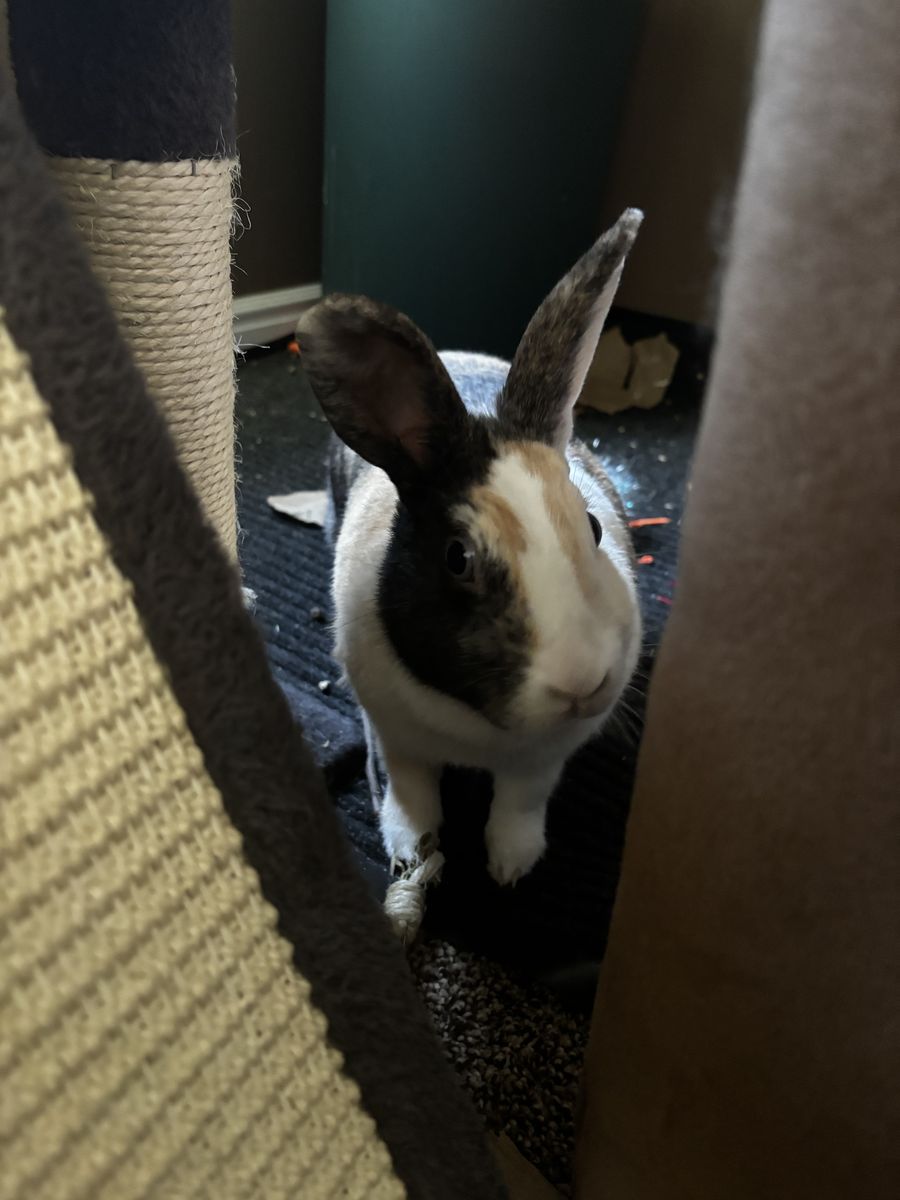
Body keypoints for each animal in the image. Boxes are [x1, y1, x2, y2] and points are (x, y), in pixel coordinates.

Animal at [297, 208, 643, 886]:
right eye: (458, 558)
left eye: (591, 527)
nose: (584, 680)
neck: (480, 732)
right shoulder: (394, 738)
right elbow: (410, 793)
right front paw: (414, 856)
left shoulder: (541, 762)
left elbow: (520, 803)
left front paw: (511, 867)